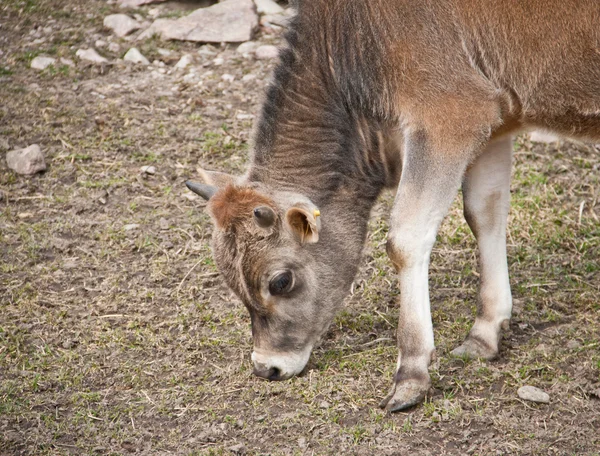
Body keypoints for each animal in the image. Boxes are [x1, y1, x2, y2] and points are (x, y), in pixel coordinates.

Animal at [186, 0, 600, 412]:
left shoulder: (451, 117)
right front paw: (485, 333)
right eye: (231, 283)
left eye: (281, 281)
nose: (266, 367)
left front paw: (411, 375)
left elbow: (405, 240)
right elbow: (484, 213)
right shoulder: (495, 123)